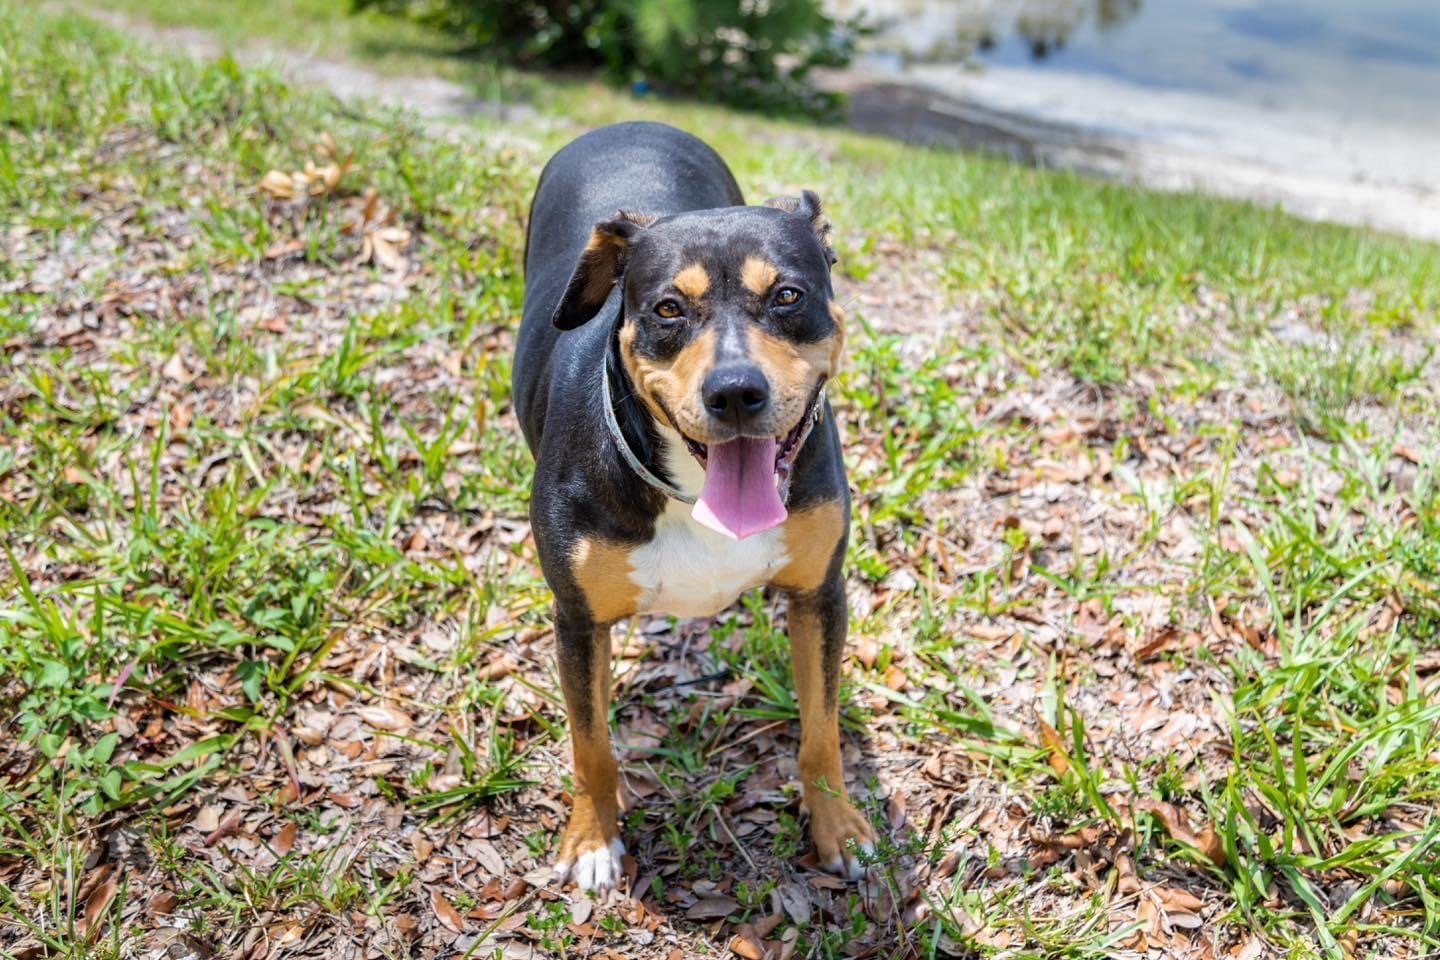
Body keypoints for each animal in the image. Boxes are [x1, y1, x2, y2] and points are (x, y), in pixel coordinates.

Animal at [518, 120, 875, 892]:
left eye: (788, 296)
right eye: (667, 310)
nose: (735, 392)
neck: (688, 491)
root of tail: (630, 122)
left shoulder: (819, 594)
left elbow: (822, 729)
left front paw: (837, 825)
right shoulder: (577, 619)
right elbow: (590, 743)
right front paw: (593, 838)